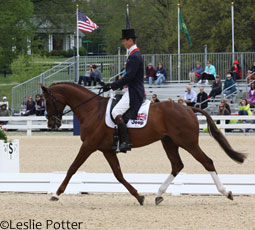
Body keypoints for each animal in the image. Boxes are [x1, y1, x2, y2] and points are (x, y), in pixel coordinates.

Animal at [40, 82, 246, 205]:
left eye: (48, 101)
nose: (52, 124)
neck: (92, 110)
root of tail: (188, 108)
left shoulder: (89, 145)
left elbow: (72, 168)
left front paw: (56, 194)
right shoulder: (106, 149)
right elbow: (118, 174)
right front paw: (139, 196)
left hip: (187, 142)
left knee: (207, 162)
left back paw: (226, 192)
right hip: (169, 142)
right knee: (177, 165)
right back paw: (159, 194)